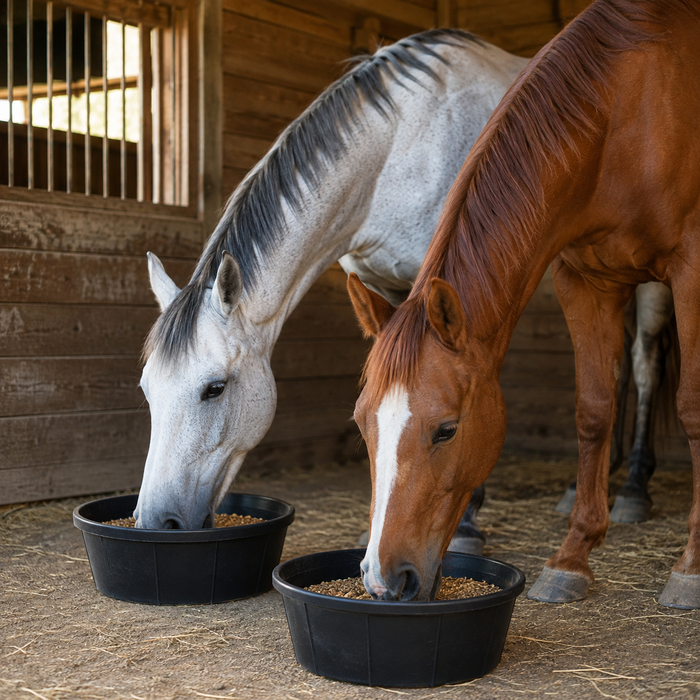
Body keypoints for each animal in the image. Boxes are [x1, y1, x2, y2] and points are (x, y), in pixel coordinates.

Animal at [135, 30, 528, 533]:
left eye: (215, 388)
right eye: (147, 389)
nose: (155, 522)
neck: (400, 146)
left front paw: (466, 523)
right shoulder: (381, 288)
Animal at [347, 0, 700, 609]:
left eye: (447, 430)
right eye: (363, 425)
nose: (385, 581)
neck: (626, 111)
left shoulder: (690, 264)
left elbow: (692, 408)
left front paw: (691, 567)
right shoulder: (583, 278)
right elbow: (593, 410)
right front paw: (571, 559)